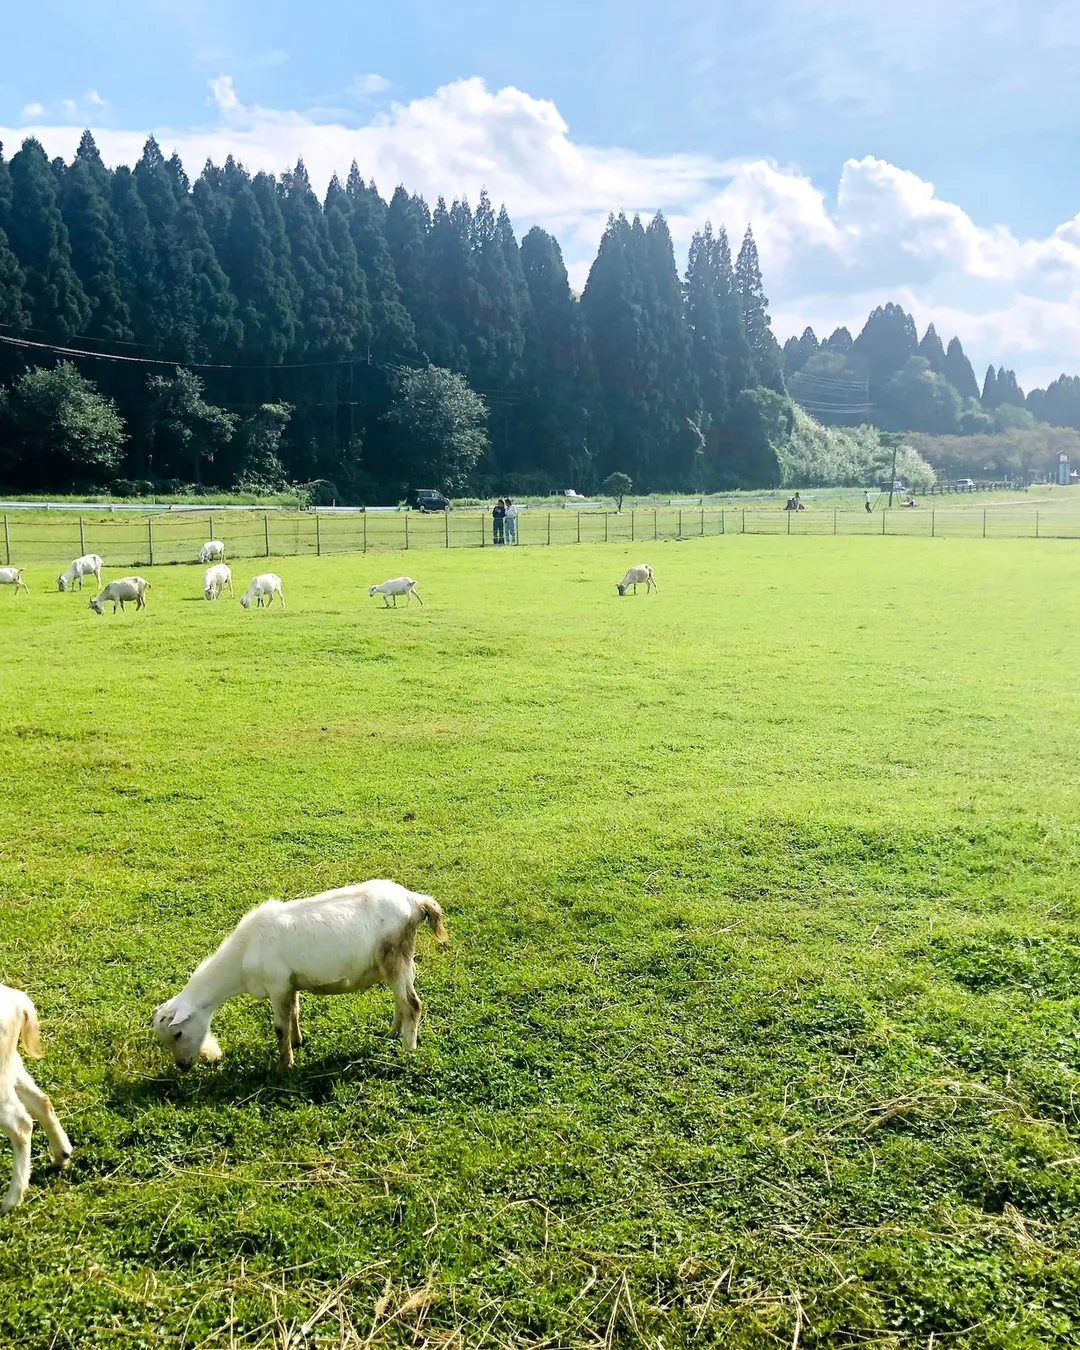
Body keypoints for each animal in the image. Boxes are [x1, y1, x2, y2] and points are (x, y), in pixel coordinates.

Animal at [0, 982, 72, 1215]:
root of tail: (16, 1000)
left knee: (21, 1124)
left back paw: (11, 1200)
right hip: (10, 1064)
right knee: (42, 1101)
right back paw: (62, 1155)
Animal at [151, 880, 448, 1069]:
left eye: (178, 1034)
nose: (182, 1066)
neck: (243, 954)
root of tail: (415, 900)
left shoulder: (277, 984)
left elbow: (279, 1027)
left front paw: (285, 1065)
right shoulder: (289, 983)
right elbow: (294, 1011)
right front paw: (298, 1041)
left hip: (397, 955)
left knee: (413, 1004)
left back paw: (408, 1050)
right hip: (395, 962)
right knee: (401, 1001)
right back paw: (393, 1033)